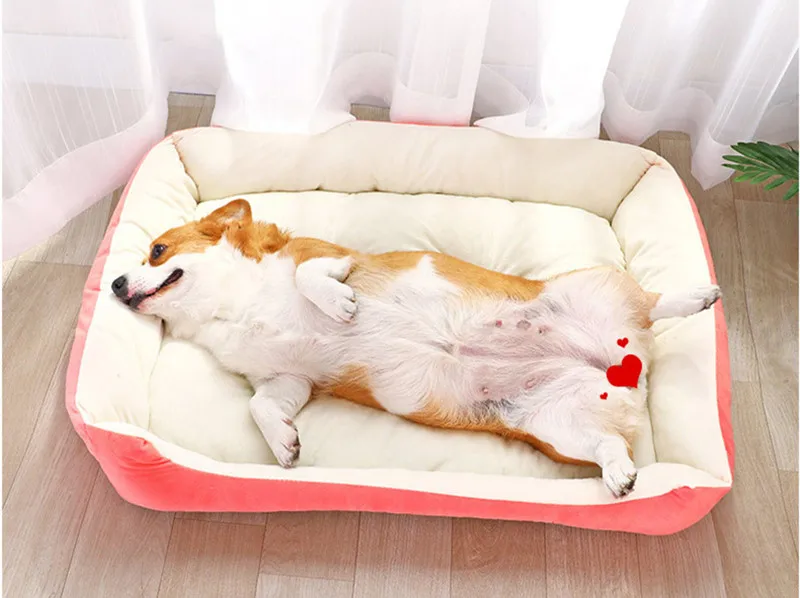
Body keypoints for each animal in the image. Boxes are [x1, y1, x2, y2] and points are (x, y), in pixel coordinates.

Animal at [111, 198, 720, 497]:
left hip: (591, 289)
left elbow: (311, 275)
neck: (231, 306)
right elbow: (262, 407)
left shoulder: (330, 258)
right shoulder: (286, 382)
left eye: (158, 250)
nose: (115, 284)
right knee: (608, 445)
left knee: (653, 301)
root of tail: (625, 367)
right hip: (556, 425)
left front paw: (338, 305)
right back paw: (618, 474)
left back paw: (696, 296)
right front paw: (284, 442)